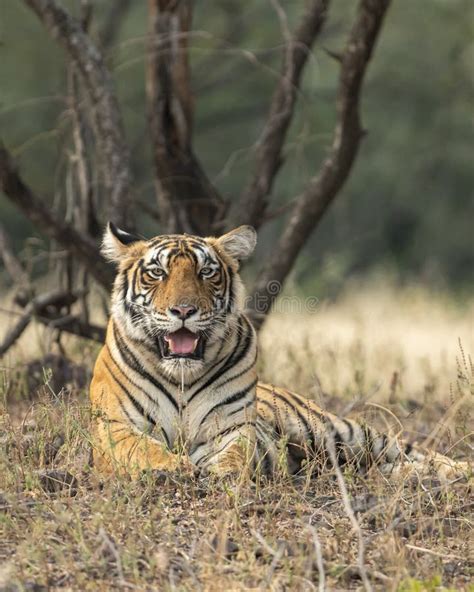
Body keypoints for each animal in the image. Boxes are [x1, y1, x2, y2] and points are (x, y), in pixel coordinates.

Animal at [90, 222, 470, 480]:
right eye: (157, 272)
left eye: (206, 272)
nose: (184, 310)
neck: (181, 376)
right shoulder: (114, 425)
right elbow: (141, 448)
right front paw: (173, 467)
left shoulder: (233, 426)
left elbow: (236, 454)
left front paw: (223, 473)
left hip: (340, 432)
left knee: (407, 450)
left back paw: (455, 471)